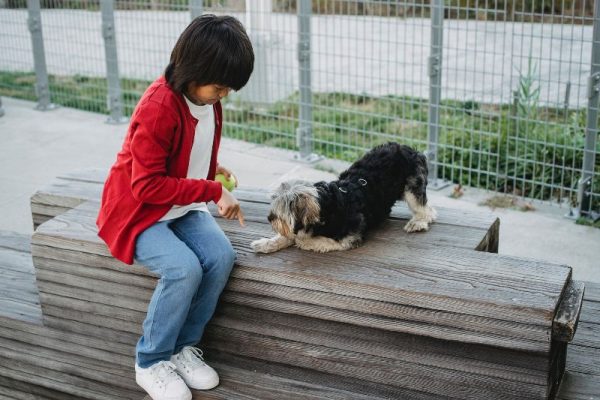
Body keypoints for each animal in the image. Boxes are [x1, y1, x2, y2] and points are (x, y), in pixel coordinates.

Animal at [248, 141, 436, 253]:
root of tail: (409, 149)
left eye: (281, 211)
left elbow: (316, 240)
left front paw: (303, 241)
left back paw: (418, 222)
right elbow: (289, 235)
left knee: (427, 210)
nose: (269, 218)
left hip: (412, 186)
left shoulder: (348, 238)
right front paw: (266, 243)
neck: (326, 208)